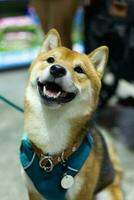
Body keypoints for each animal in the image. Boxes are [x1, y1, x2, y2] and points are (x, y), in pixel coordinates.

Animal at [20, 28, 123, 199]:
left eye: (79, 69)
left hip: (105, 193)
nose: (57, 69)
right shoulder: (33, 191)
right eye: (50, 60)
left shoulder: (83, 193)